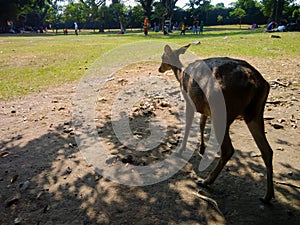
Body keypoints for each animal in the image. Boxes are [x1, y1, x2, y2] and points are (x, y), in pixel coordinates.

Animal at [159, 43, 274, 203]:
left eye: (163, 57)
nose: (159, 68)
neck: (181, 75)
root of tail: (257, 83)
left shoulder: (189, 102)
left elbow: (188, 126)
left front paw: (181, 151)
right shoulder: (204, 109)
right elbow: (201, 124)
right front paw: (201, 148)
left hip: (222, 110)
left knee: (228, 149)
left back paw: (206, 181)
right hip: (255, 113)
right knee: (267, 150)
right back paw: (267, 196)